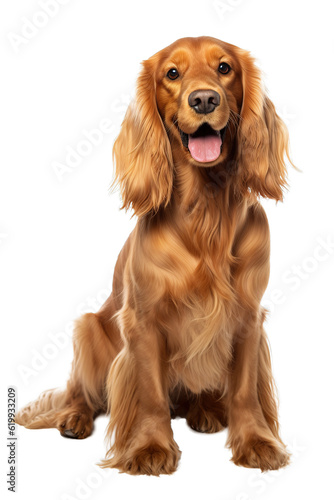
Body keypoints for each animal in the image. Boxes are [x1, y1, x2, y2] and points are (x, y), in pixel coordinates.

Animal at [15, 37, 292, 474]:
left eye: (225, 68)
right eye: (172, 74)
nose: (204, 99)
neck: (205, 213)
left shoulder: (248, 315)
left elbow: (245, 389)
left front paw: (256, 442)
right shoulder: (143, 321)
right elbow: (150, 394)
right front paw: (149, 447)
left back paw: (205, 410)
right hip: (88, 329)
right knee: (81, 392)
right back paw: (74, 419)